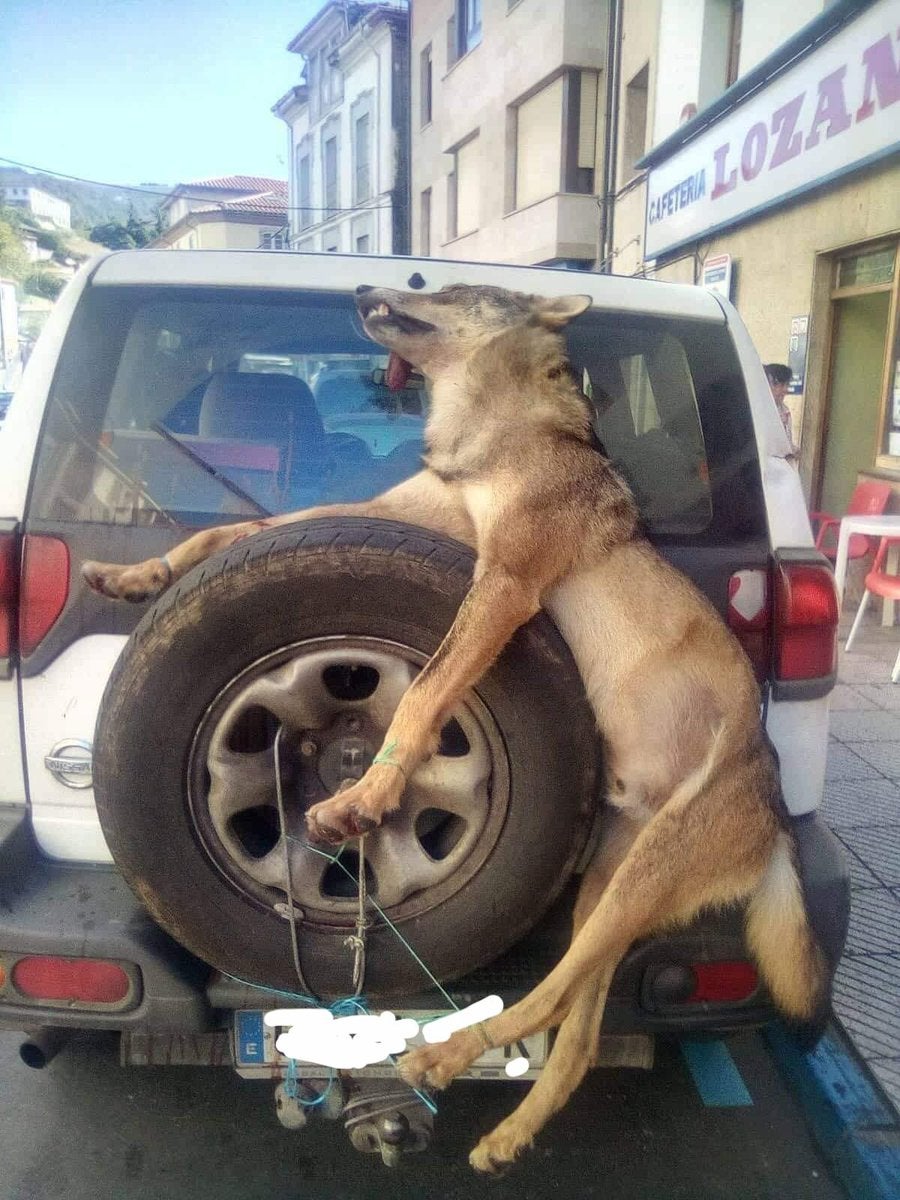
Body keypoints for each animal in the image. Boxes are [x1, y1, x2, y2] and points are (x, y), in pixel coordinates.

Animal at [83, 282, 825, 1173]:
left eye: (437, 287)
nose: (363, 289)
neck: (489, 435)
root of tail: (776, 819)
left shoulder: (502, 586)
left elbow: (423, 695)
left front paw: (360, 800)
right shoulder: (400, 519)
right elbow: (232, 531)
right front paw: (136, 574)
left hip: (635, 886)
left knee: (549, 994)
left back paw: (440, 1056)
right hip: (605, 897)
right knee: (575, 1029)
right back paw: (504, 1135)